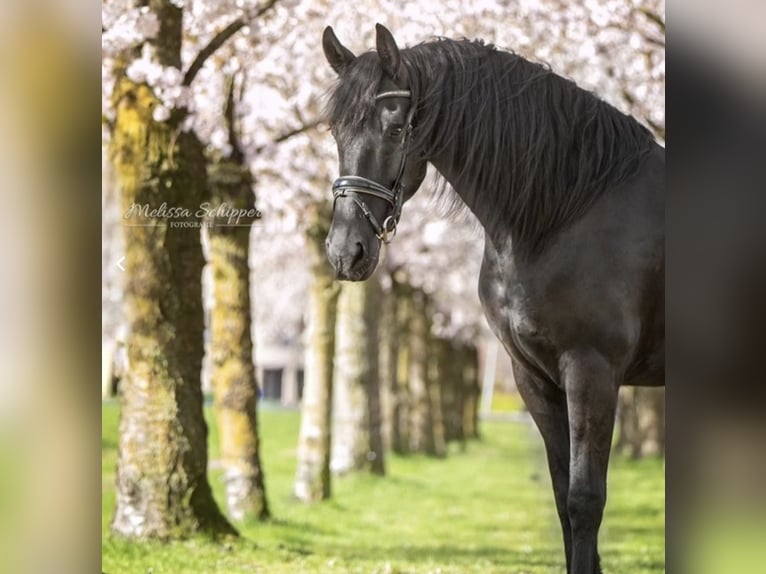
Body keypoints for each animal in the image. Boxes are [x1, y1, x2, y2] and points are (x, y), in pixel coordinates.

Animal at [321, 23, 664, 574]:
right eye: (335, 132)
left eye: (395, 129)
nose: (344, 252)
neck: (568, 212)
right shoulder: (535, 378)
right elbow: (563, 497)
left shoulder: (592, 371)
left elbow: (585, 499)